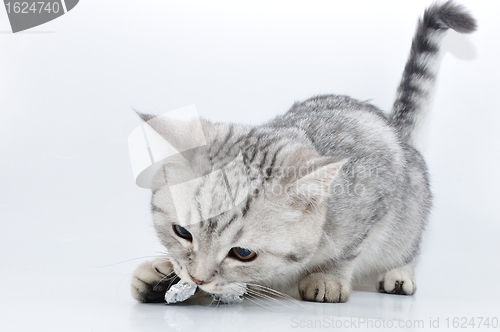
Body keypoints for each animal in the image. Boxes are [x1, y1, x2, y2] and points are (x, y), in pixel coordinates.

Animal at [130, 0, 476, 304]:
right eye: (181, 232)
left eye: (243, 253)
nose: (198, 278)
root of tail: (395, 127)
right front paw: (161, 272)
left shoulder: (375, 197)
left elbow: (348, 250)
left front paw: (328, 277)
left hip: (409, 217)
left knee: (408, 248)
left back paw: (399, 275)